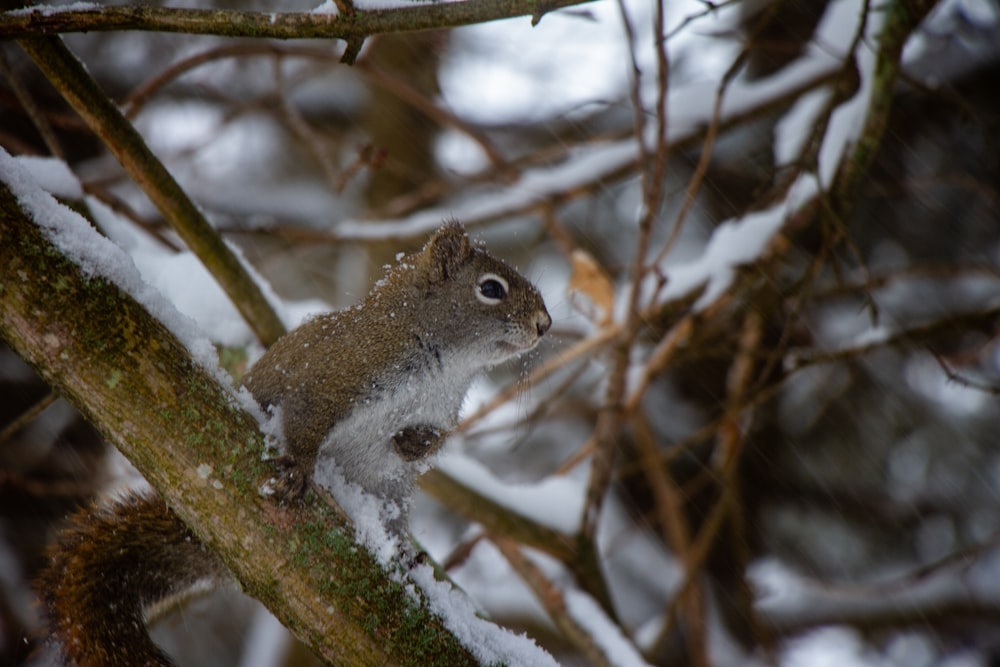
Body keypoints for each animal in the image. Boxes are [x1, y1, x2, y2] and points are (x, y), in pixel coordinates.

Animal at [39, 223, 552, 667]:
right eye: (491, 289)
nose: (545, 324)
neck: (444, 368)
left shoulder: (441, 415)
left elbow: (432, 442)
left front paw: (413, 440)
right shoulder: (332, 377)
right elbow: (306, 421)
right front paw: (301, 469)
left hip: (390, 492)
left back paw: (404, 554)